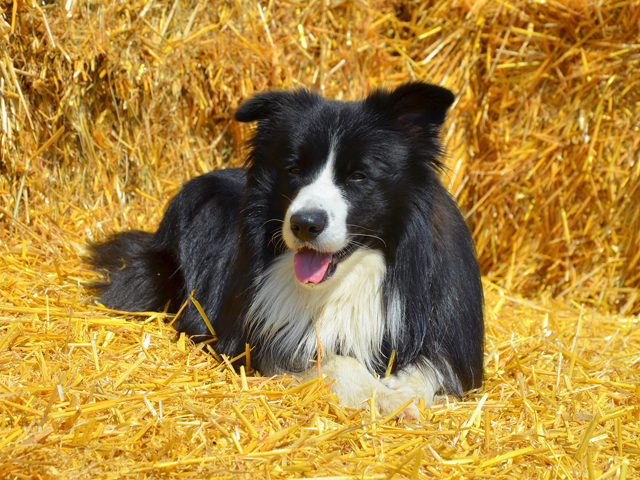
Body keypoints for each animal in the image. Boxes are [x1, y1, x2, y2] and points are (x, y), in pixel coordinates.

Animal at [87, 81, 482, 416]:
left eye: (359, 175)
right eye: (294, 169)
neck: (351, 277)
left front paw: (401, 394)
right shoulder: (257, 336)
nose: (305, 224)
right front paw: (381, 396)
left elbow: (433, 366)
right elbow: (331, 359)